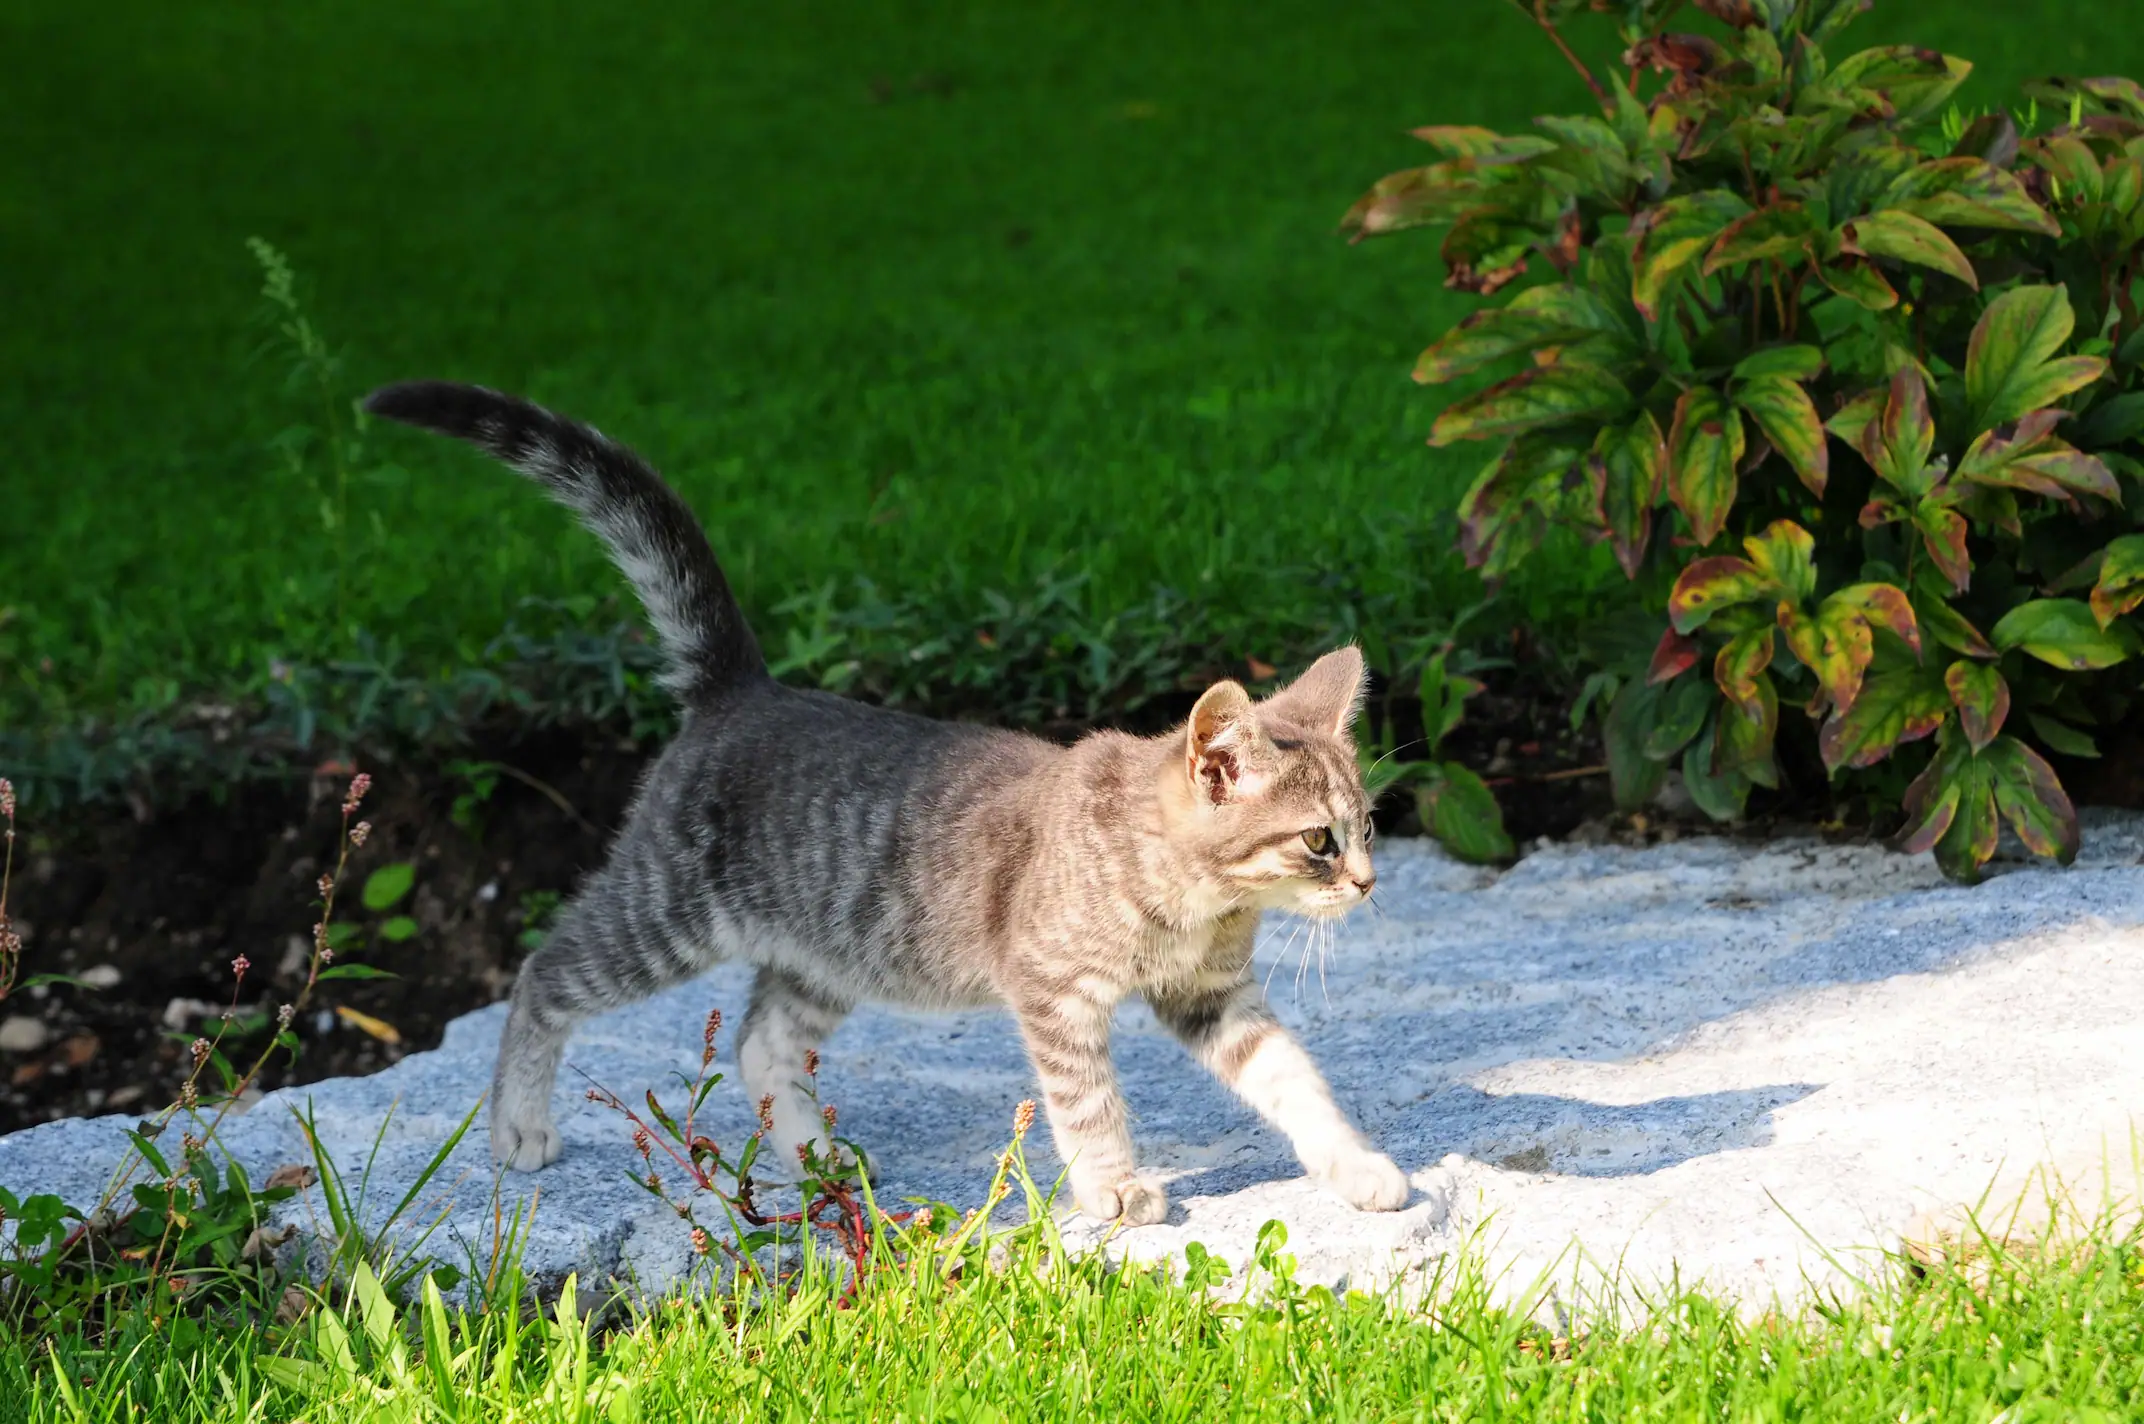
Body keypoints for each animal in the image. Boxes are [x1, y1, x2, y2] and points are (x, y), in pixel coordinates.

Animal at [364, 381, 1406, 1226]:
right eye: (1318, 841)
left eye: (1367, 825)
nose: (1368, 882)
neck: (1197, 900)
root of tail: (743, 688)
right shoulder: (1052, 991)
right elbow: (1087, 1101)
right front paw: (1112, 1186)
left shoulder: (1212, 997)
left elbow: (1294, 1078)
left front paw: (1356, 1166)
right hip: (665, 915)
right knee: (543, 971)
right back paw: (518, 1123)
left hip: (832, 947)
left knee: (760, 1045)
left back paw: (819, 1162)